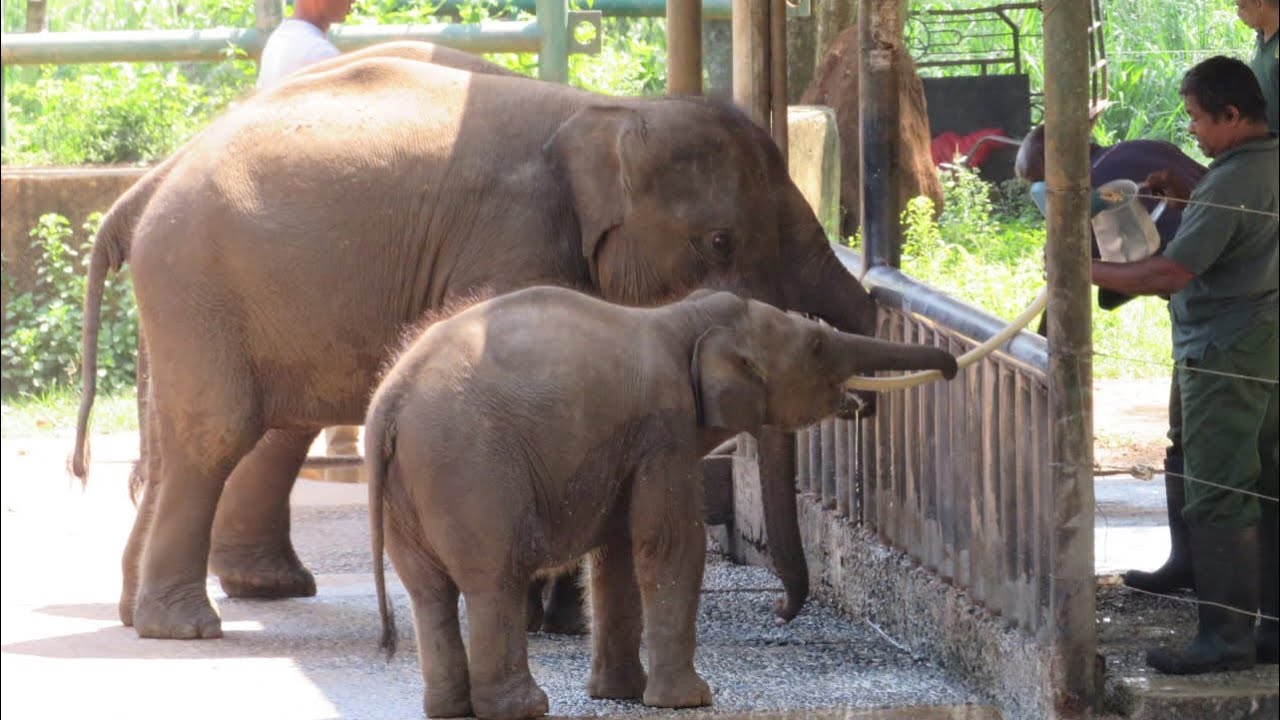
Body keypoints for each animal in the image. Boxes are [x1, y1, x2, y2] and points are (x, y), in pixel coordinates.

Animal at [70, 44, 880, 640]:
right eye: (719, 241)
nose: (782, 609)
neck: (609, 112)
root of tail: (145, 187)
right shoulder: (514, 240)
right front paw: (533, 619)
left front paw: (562, 625)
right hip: (197, 281)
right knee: (219, 431)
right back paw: (185, 628)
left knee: (211, 433)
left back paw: (164, 609)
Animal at [366, 286, 959, 719]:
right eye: (815, 345)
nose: (780, 610)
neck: (682, 317)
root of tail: (392, 401)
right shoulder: (663, 426)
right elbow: (670, 544)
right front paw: (692, 700)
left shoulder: (629, 444)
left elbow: (618, 556)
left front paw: (620, 695)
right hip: (471, 473)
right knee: (494, 581)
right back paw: (523, 708)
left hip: (410, 489)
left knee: (428, 592)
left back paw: (448, 710)